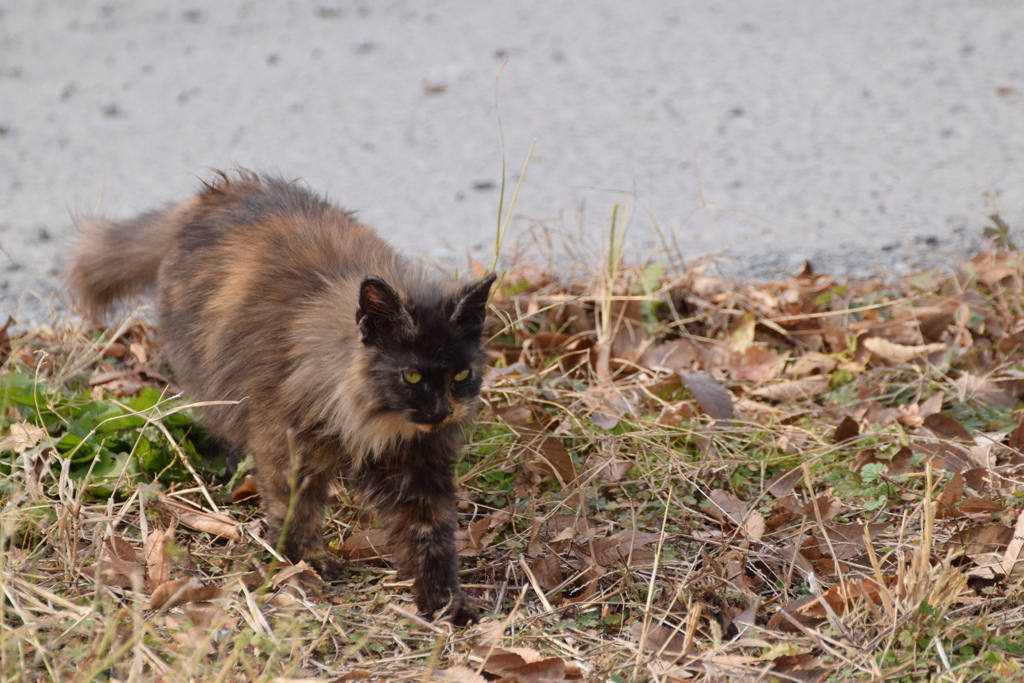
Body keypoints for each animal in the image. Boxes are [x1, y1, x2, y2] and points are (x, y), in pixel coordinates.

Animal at [66, 172, 493, 626]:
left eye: (461, 375)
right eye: (411, 375)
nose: (442, 411)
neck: (365, 420)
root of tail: (214, 194)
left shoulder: (420, 467)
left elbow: (430, 537)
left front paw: (446, 603)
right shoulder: (285, 446)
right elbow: (295, 511)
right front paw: (303, 562)